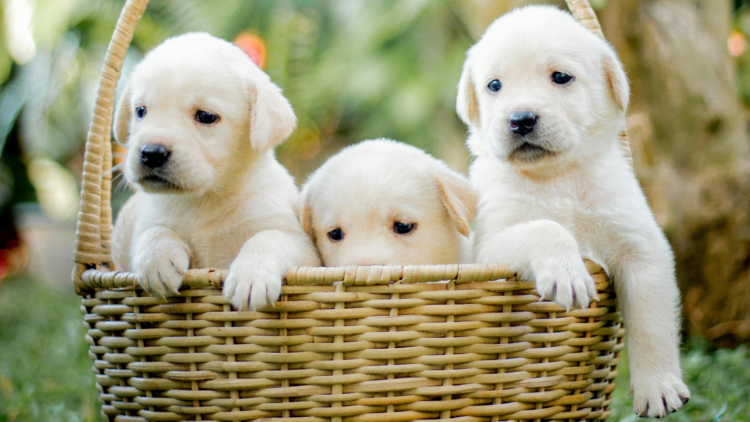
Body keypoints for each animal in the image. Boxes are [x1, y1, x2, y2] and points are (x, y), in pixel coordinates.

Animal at [112, 32, 320, 310]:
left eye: (206, 116)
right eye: (141, 111)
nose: (151, 153)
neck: (204, 201)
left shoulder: (301, 246)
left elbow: (267, 238)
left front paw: (251, 275)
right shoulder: (147, 222)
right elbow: (152, 232)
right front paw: (157, 259)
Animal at [464, 4, 692, 418]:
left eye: (561, 77)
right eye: (494, 85)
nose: (520, 119)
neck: (558, 177)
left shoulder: (641, 246)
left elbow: (652, 323)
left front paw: (659, 389)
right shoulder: (486, 249)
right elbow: (546, 227)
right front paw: (568, 275)